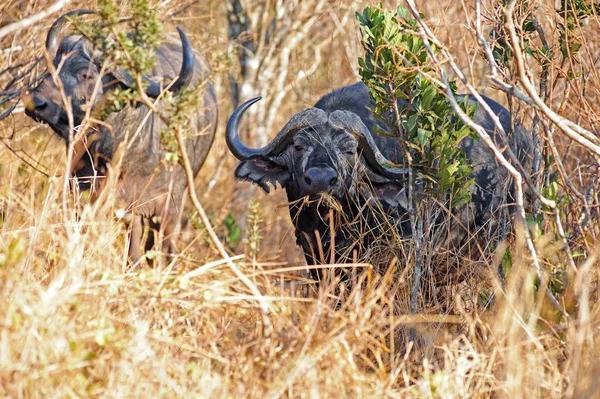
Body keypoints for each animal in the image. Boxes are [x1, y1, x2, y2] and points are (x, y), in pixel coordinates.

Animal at [22, 10, 218, 262]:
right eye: (53, 66)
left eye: (86, 74)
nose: (35, 103)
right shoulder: (89, 193)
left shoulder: (170, 207)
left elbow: (164, 252)